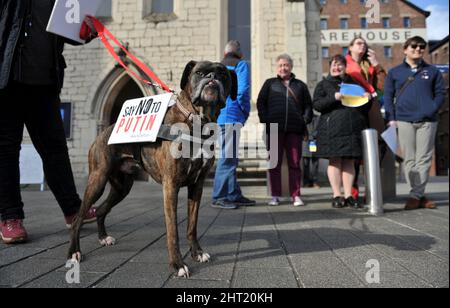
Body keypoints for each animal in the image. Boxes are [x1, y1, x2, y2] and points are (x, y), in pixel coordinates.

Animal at [68, 61, 237, 278]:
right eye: (199, 72)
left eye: (223, 74)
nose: (211, 78)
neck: (197, 121)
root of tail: (104, 132)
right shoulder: (170, 186)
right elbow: (173, 231)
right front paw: (177, 265)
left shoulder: (197, 186)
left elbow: (192, 225)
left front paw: (197, 253)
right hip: (97, 180)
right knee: (78, 218)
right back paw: (74, 252)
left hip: (121, 188)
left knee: (101, 210)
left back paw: (104, 237)